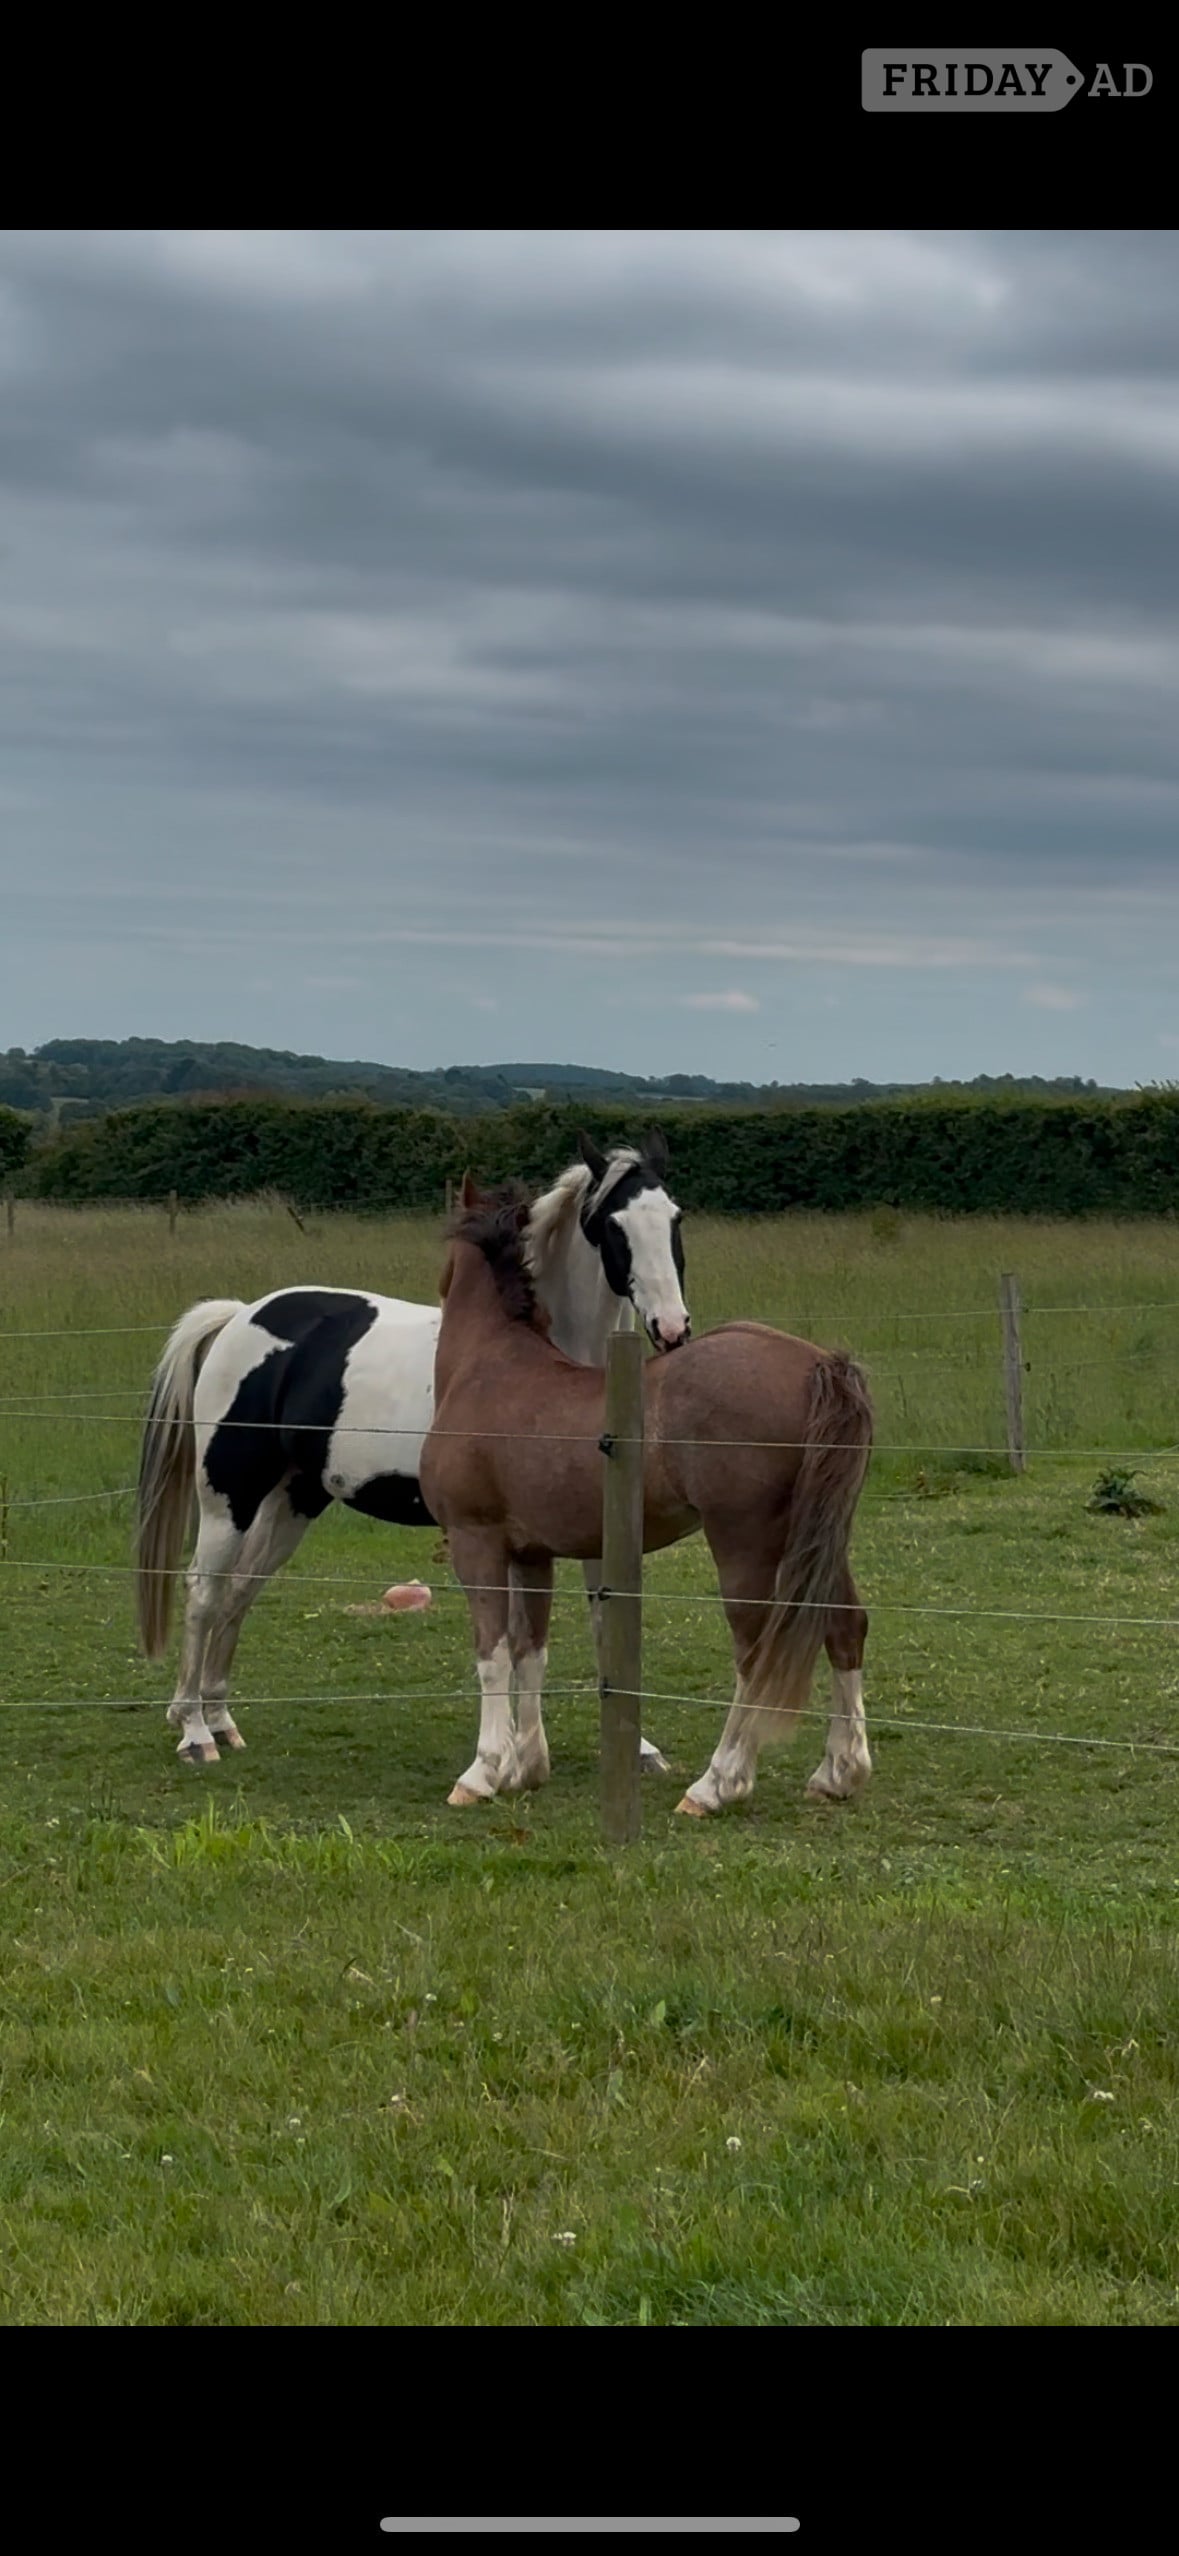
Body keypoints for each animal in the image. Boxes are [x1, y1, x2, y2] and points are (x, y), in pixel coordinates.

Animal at [135, 1133, 690, 1768]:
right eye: (614, 1224)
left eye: (675, 1218)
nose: (672, 1328)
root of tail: (240, 1316)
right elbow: (511, 1638)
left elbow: (594, 1622)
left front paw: (631, 1749)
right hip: (229, 1496)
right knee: (204, 1591)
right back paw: (194, 1730)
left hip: (293, 1499)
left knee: (240, 1591)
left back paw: (221, 1719)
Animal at [420, 1177, 875, 1816]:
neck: (490, 1363)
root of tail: (819, 1364)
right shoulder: (533, 1555)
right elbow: (531, 1650)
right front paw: (526, 1766)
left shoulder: (475, 1543)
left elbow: (493, 1655)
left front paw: (483, 1771)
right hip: (816, 1541)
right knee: (845, 1626)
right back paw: (838, 1770)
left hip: (747, 1547)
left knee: (755, 1653)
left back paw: (717, 1783)